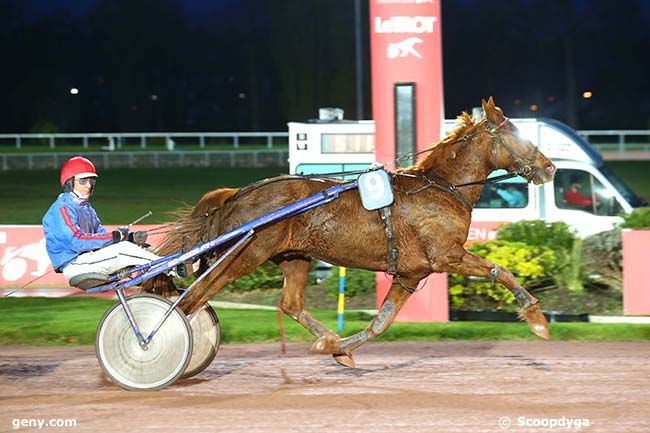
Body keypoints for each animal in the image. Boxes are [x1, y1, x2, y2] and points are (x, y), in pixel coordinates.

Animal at [152, 99, 552, 366]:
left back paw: (327, 337)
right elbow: (499, 270)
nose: (548, 167)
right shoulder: (446, 256)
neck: (442, 188)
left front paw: (338, 348)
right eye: (517, 135)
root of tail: (237, 194)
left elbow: (381, 323)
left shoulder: (411, 273)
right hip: (244, 254)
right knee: (195, 296)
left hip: (294, 257)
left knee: (289, 303)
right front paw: (537, 319)